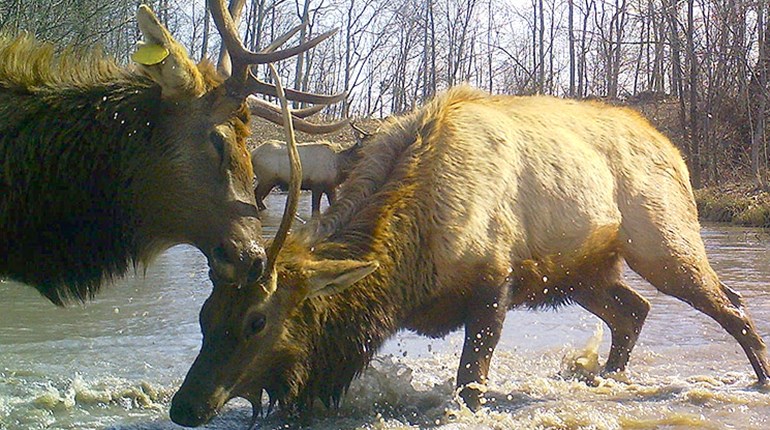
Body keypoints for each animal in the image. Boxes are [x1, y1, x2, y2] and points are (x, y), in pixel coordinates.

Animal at [169, 85, 769, 427]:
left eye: (257, 320)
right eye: (204, 315)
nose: (185, 406)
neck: (408, 266)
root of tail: (677, 153)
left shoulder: (495, 279)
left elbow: (469, 383)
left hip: (662, 241)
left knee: (731, 303)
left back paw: (759, 378)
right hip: (580, 273)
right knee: (632, 311)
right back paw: (603, 379)